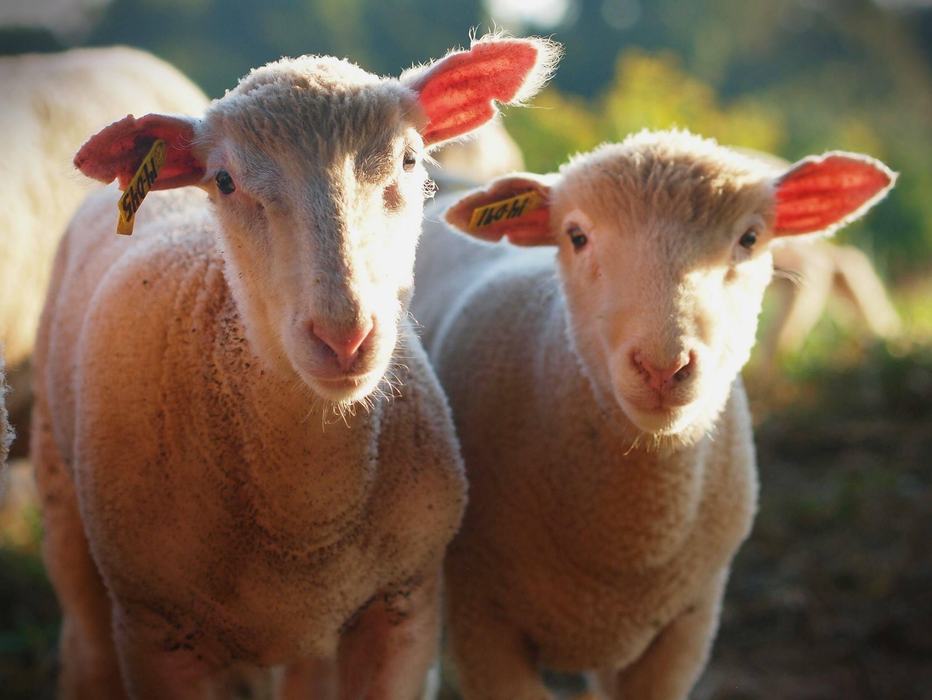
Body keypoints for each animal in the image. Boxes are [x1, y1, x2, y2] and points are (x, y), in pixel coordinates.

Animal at [34, 36, 558, 698]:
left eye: (410, 160)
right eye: (224, 180)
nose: (344, 335)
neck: (304, 520)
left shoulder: (404, 608)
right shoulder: (158, 633)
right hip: (61, 493)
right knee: (84, 643)